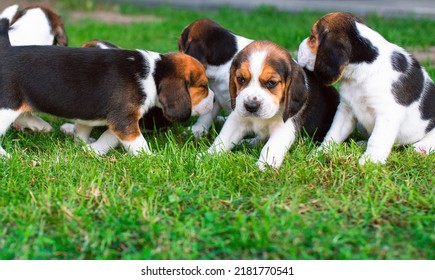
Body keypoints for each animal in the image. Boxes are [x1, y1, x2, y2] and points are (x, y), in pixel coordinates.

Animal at [206, 40, 338, 170]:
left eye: (271, 83)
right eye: (241, 79)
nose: (251, 106)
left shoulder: (284, 127)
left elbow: (270, 147)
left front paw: (263, 167)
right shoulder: (237, 120)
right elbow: (222, 139)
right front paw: (207, 156)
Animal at [298, 12, 435, 164]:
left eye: (312, 37)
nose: (299, 47)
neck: (363, 68)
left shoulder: (386, 114)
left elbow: (376, 140)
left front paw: (370, 161)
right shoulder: (346, 109)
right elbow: (333, 133)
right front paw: (321, 152)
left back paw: (421, 148)